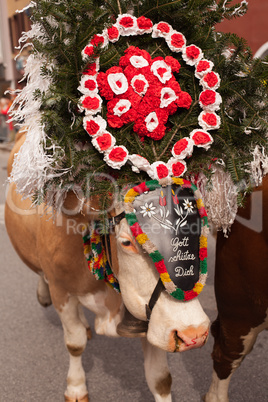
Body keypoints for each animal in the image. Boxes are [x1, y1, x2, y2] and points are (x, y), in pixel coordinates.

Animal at [4, 136, 209, 402]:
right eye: (126, 242)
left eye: (201, 231)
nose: (193, 333)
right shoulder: (62, 290)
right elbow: (75, 343)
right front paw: (76, 387)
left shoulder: (151, 317)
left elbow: (160, 378)